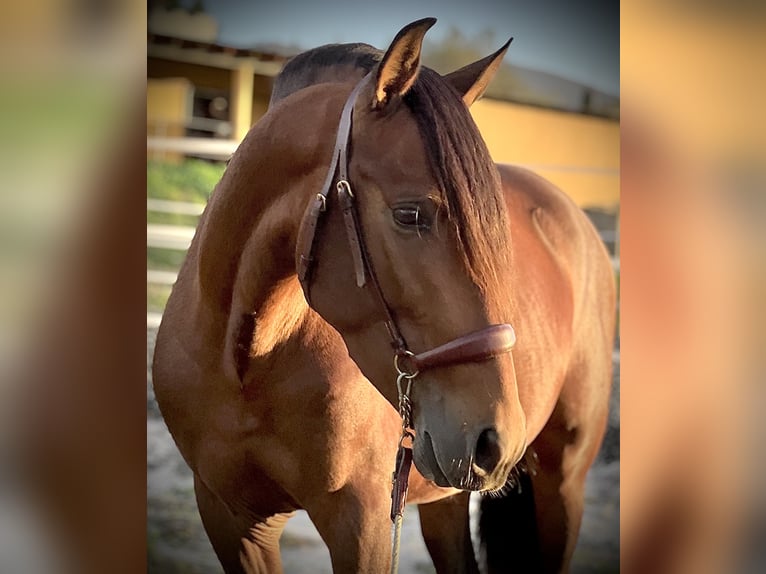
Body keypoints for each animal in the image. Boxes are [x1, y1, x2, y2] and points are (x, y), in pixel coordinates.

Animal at [153, 18, 616, 574]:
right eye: (409, 214)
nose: (497, 441)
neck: (247, 359)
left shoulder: (364, 523)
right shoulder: (231, 517)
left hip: (561, 483)